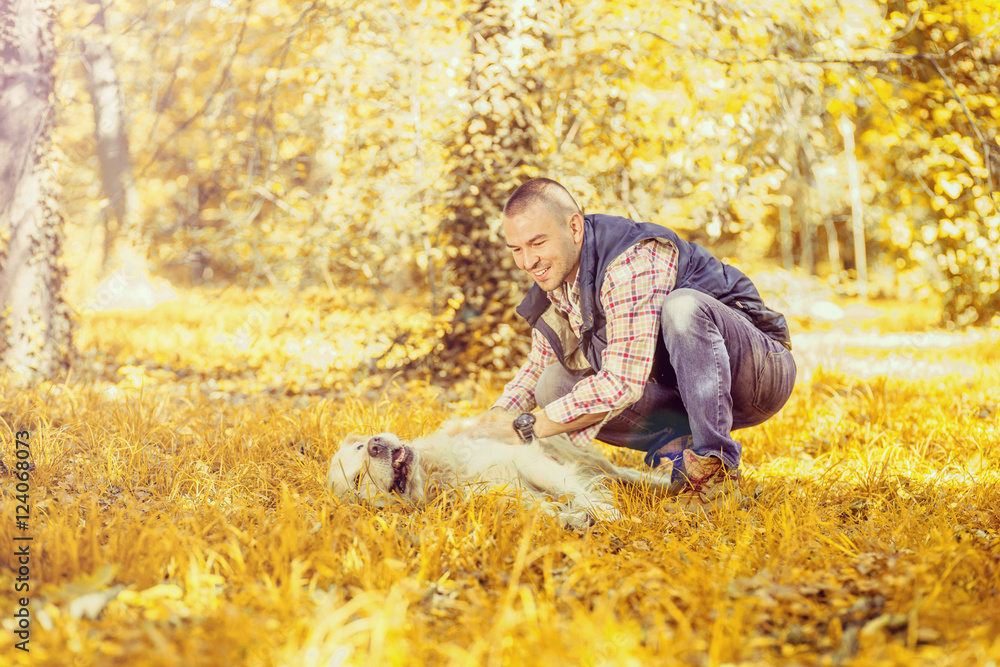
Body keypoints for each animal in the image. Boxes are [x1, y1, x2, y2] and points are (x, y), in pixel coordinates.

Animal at [328, 420, 672, 528]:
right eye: (357, 479)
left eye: (359, 446)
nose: (375, 444)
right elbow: (545, 510)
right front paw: (574, 519)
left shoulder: (525, 458)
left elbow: (574, 491)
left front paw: (610, 514)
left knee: (622, 473)